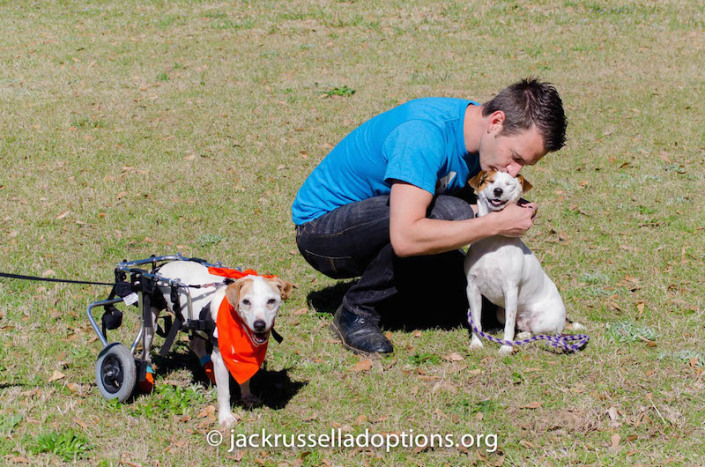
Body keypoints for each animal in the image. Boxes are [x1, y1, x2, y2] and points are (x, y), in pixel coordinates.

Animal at [148, 262, 292, 426]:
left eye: (271, 301)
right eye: (246, 302)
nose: (259, 325)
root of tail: (161, 266)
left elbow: (245, 378)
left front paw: (246, 396)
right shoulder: (221, 360)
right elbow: (224, 393)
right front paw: (225, 416)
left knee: (196, 344)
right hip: (150, 320)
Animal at [464, 170, 568, 356]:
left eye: (509, 185)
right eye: (490, 181)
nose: (498, 191)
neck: (493, 240)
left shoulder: (510, 290)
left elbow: (509, 325)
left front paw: (506, 347)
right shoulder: (472, 288)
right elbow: (476, 321)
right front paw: (476, 343)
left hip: (544, 322)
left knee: (541, 333)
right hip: (500, 312)